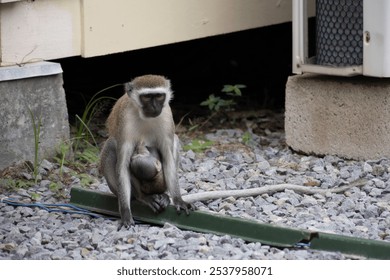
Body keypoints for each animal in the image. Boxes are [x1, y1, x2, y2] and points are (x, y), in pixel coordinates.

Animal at [100, 75, 192, 230]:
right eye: (147, 97)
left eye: (159, 96)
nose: (154, 107)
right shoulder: (125, 121)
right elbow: (123, 165)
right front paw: (126, 212)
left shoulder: (167, 115)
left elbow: (168, 158)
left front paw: (178, 200)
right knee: (111, 144)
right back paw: (143, 197)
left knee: (175, 139)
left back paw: (164, 196)